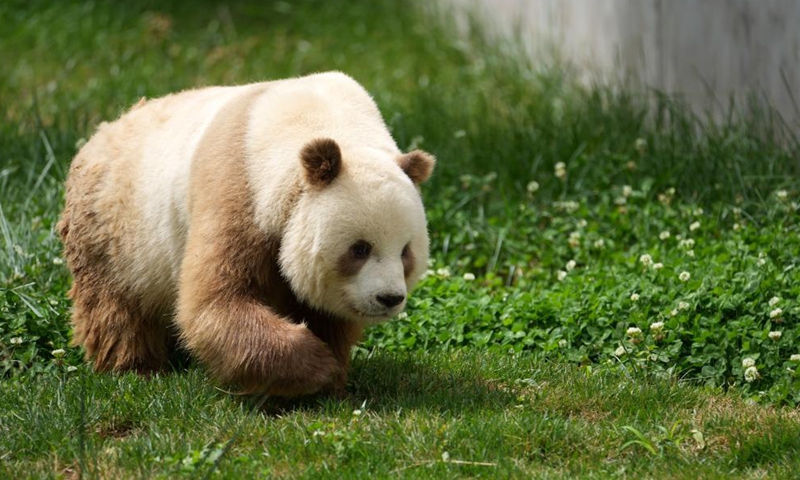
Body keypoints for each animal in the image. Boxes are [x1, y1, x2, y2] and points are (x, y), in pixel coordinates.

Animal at [58, 72, 435, 396]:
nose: (389, 298)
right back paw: (136, 368)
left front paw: (331, 374)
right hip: (113, 229)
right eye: (360, 249)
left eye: (405, 251)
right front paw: (315, 367)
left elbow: (326, 314)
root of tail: (101, 131)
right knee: (115, 308)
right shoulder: (238, 185)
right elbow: (215, 301)